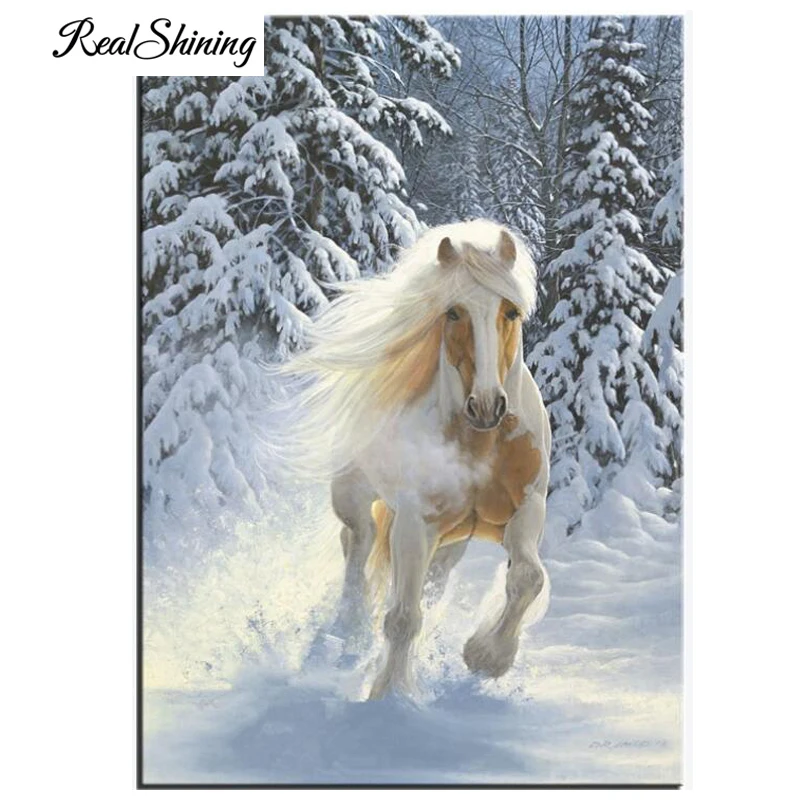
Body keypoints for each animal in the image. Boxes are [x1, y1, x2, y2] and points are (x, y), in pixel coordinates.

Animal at [279, 220, 551, 699]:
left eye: (510, 312)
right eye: (453, 312)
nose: (487, 406)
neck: (480, 444)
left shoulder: (527, 506)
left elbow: (527, 578)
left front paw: (486, 657)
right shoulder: (413, 521)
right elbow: (403, 617)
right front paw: (389, 695)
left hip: (452, 539)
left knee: (427, 581)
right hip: (356, 498)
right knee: (358, 545)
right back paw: (348, 632)